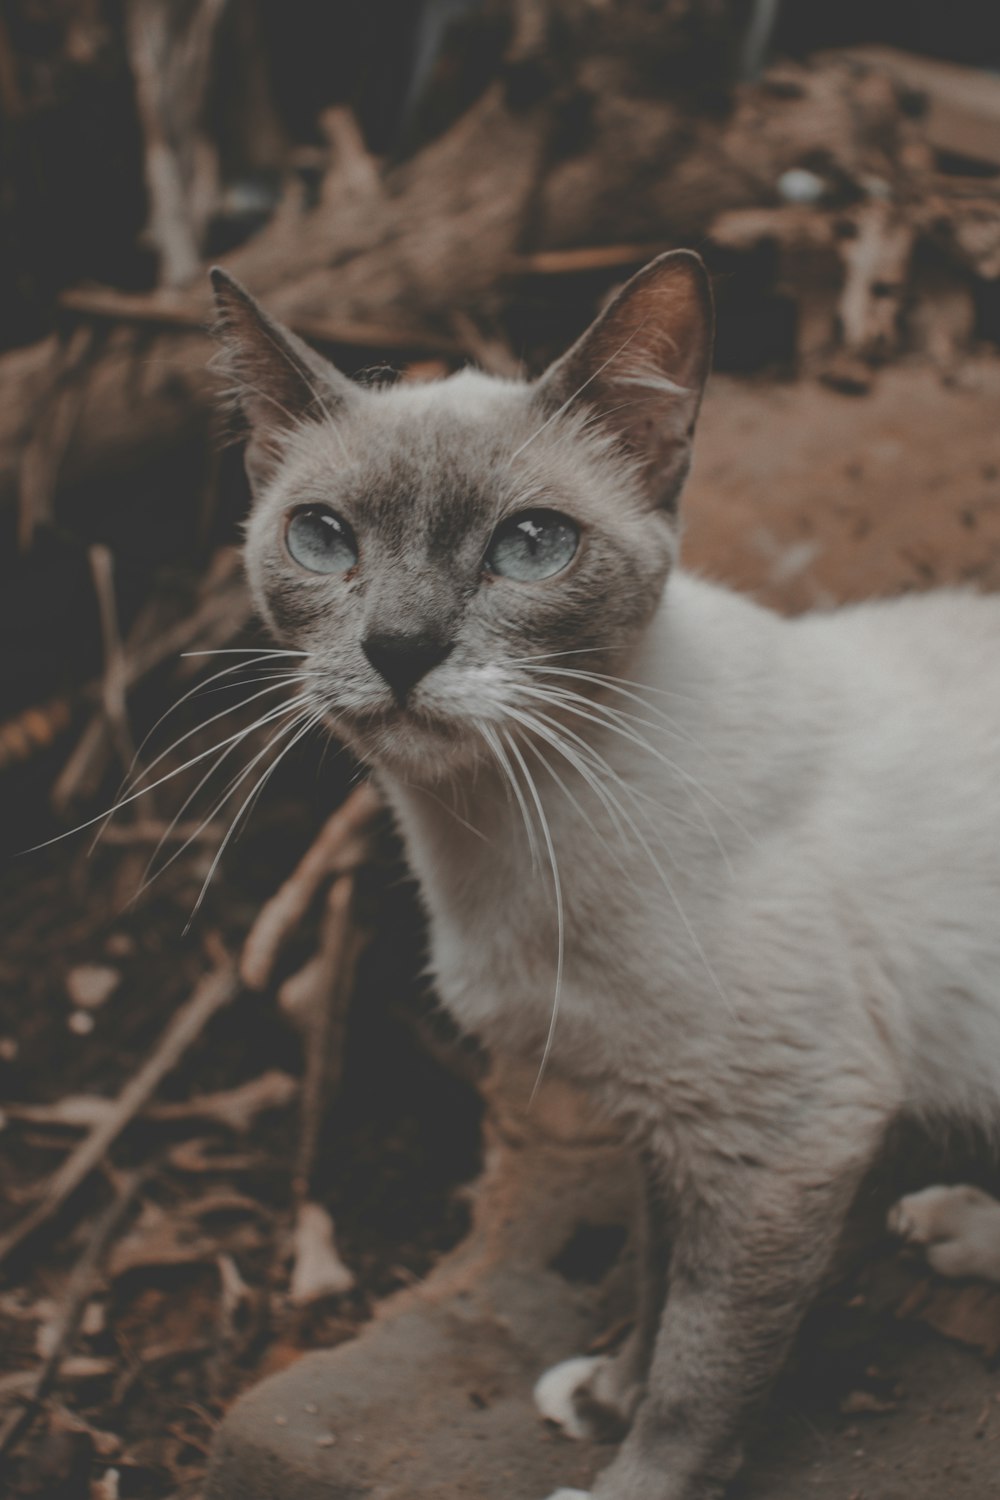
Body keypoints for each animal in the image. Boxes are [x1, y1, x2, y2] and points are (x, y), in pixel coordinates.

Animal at [209, 258, 1000, 1500]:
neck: (496, 834)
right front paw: (605, 1393)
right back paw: (954, 1226)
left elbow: (700, 1370)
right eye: (323, 538)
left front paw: (629, 1474)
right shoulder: (660, 1111)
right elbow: (652, 1277)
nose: (399, 648)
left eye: (532, 545)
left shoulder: (779, 1133)